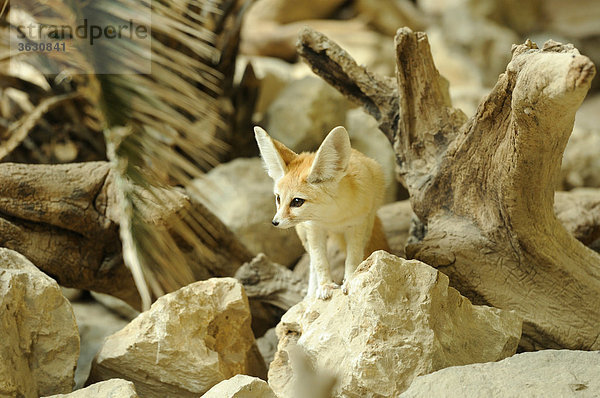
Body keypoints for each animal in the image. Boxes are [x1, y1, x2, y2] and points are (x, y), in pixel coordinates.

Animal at [253, 124, 390, 298]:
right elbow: (320, 262)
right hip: (304, 235)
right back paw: (310, 294)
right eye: (278, 198)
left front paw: (350, 279)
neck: (332, 218)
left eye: (297, 202)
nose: (274, 222)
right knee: (312, 264)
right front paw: (325, 285)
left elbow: (353, 258)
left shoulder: (357, 226)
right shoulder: (314, 228)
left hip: (368, 223)